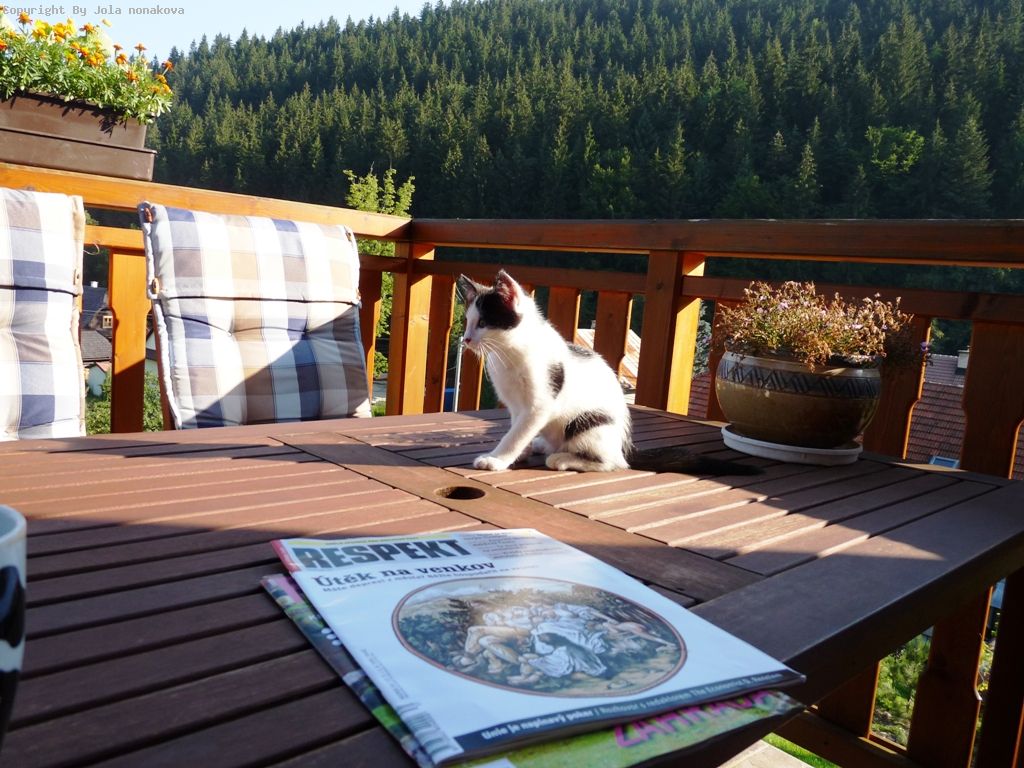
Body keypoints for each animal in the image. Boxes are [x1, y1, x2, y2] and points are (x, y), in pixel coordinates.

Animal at [457, 270, 759, 475]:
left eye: (483, 323)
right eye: (468, 322)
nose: (467, 340)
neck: (509, 352)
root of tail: (625, 446)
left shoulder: (539, 404)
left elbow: (517, 433)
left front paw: (497, 459)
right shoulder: (516, 406)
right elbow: (516, 428)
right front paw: (520, 452)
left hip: (589, 422)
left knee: (613, 463)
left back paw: (563, 458)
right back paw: (546, 446)